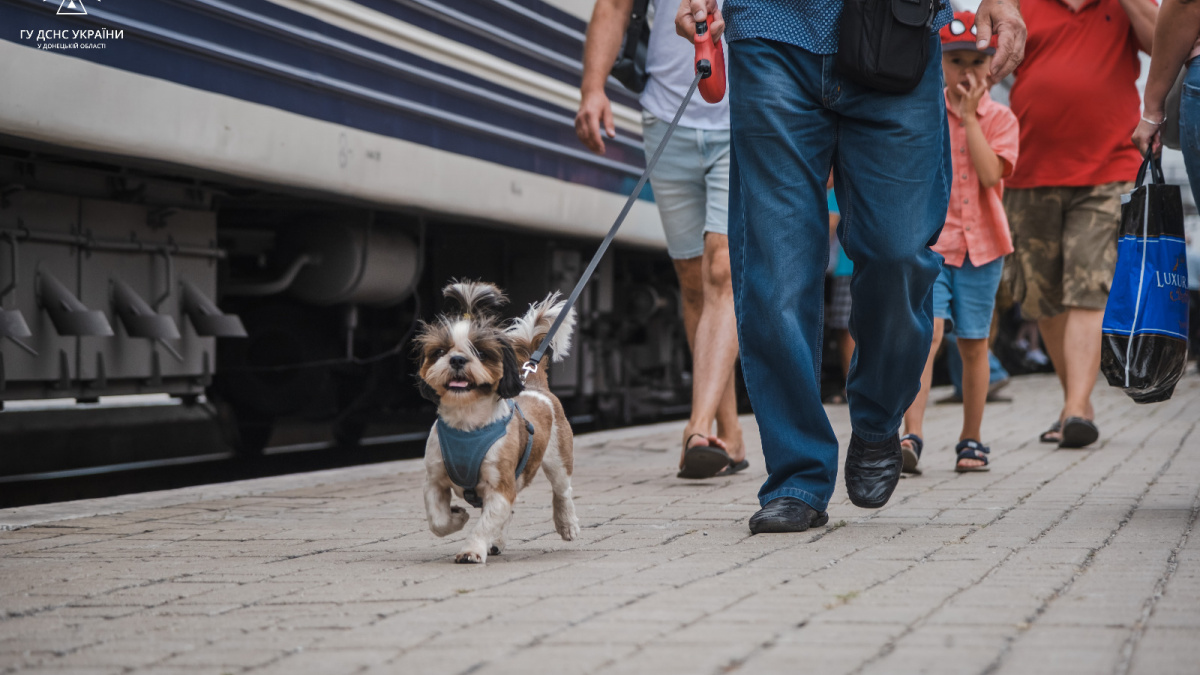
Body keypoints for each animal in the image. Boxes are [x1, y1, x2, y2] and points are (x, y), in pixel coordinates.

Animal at [415, 278, 578, 562]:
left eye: (480, 353)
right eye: (440, 351)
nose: (457, 359)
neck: (467, 423)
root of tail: (535, 386)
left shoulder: (500, 485)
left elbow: (486, 521)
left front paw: (471, 550)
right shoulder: (434, 480)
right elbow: (438, 521)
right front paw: (457, 518)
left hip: (558, 456)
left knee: (562, 491)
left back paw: (566, 523)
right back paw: (497, 541)